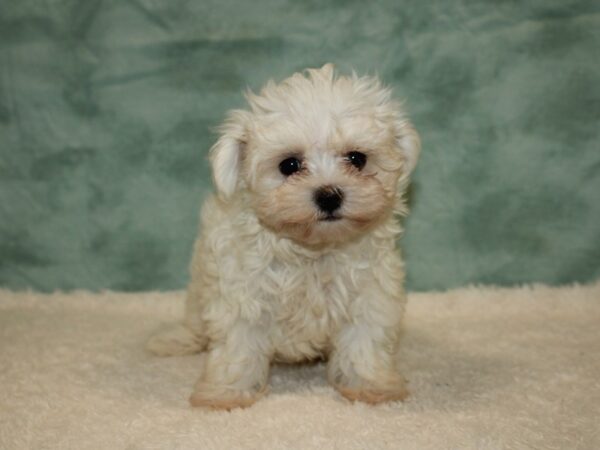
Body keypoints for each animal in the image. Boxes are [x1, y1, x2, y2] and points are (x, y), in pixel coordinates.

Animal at [147, 64, 420, 412]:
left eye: (357, 159)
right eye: (289, 165)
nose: (329, 195)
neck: (311, 250)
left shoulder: (369, 294)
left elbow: (364, 343)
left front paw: (372, 387)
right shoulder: (241, 296)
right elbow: (237, 347)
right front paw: (225, 394)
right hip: (199, 291)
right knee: (197, 324)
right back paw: (178, 339)